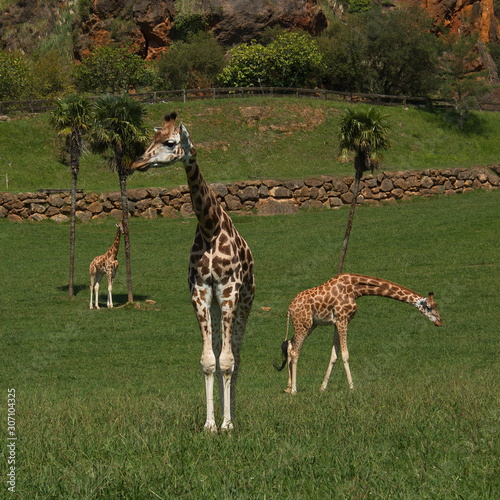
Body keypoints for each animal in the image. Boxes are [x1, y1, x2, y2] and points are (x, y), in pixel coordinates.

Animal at [130, 113, 254, 434]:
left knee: (237, 356)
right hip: (215, 305)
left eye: (170, 142)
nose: (137, 163)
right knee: (221, 351)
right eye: (152, 137)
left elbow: (227, 361)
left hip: (243, 301)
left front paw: (227, 424)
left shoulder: (228, 290)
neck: (210, 227)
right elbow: (209, 360)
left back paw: (233, 415)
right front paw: (210, 425)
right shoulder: (200, 292)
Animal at [276, 274, 444, 394]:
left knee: (289, 345)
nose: (440, 322)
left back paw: (288, 387)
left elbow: (334, 356)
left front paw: (322, 388)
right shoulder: (342, 319)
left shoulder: (339, 321)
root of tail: (289, 309)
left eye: (436, 306)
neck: (357, 289)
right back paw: (294, 390)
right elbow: (345, 355)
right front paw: (352, 388)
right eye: (429, 307)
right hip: (303, 324)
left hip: (311, 325)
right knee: (295, 351)